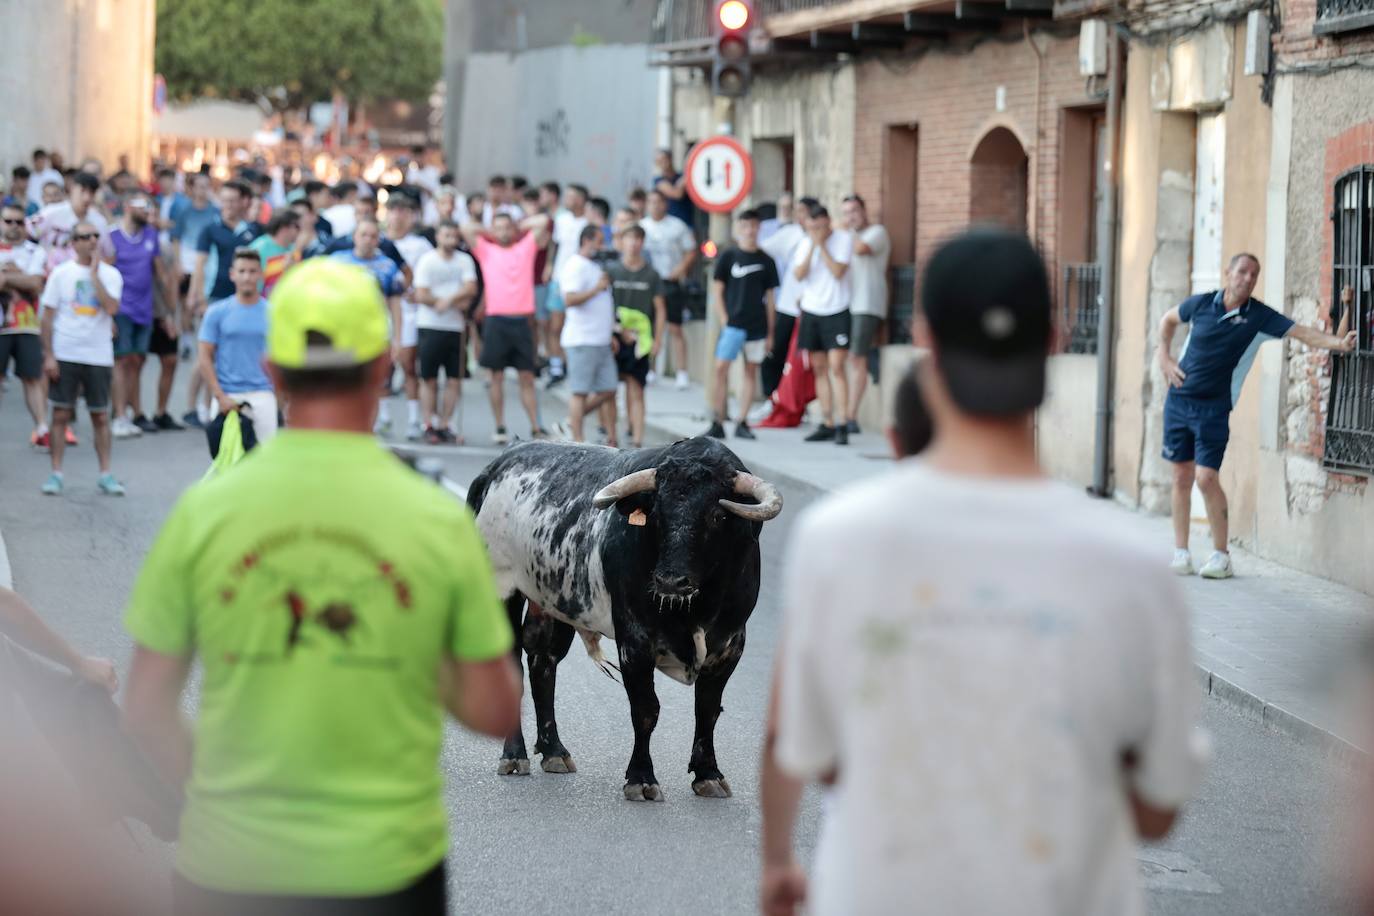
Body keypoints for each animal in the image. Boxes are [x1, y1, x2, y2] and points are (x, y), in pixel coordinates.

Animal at [464, 436, 780, 802]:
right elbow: (645, 710)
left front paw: (708, 774)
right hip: (502, 589)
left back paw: (554, 750)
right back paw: (515, 755)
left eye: (716, 515)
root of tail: (496, 466)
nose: (670, 581)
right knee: (512, 664)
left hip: (553, 601)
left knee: (544, 660)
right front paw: (641, 778)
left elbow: (708, 709)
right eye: (656, 513)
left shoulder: (730, 643)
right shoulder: (635, 639)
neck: (698, 608)